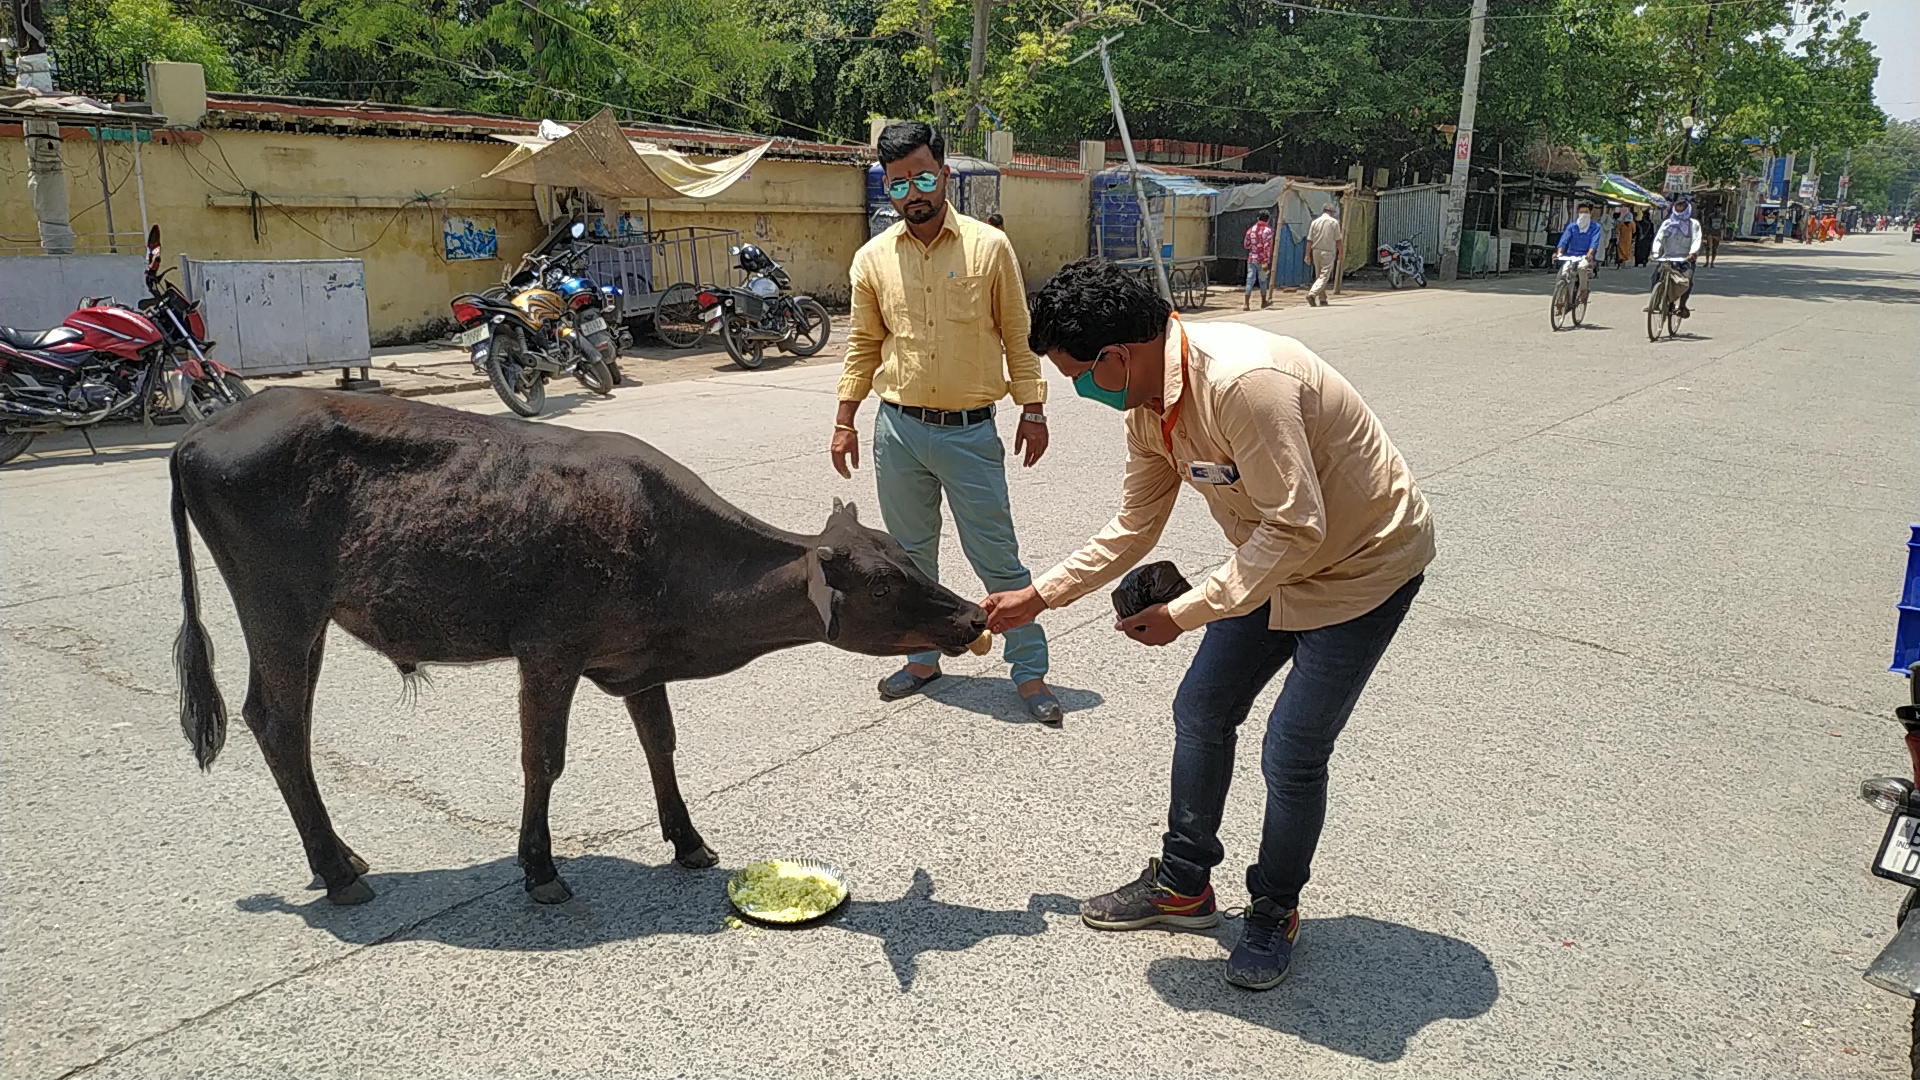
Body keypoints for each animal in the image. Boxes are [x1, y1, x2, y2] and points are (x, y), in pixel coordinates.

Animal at [168, 386, 990, 899]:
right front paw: (540, 869)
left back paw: (337, 857)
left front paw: (688, 842)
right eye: (881, 588)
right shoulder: (549, 650)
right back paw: (339, 875)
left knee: (283, 720)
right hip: (279, 604)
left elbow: (661, 744)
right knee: (278, 720)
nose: (974, 618)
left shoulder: (635, 661)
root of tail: (197, 434)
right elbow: (544, 760)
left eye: (910, 557)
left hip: (303, 619)